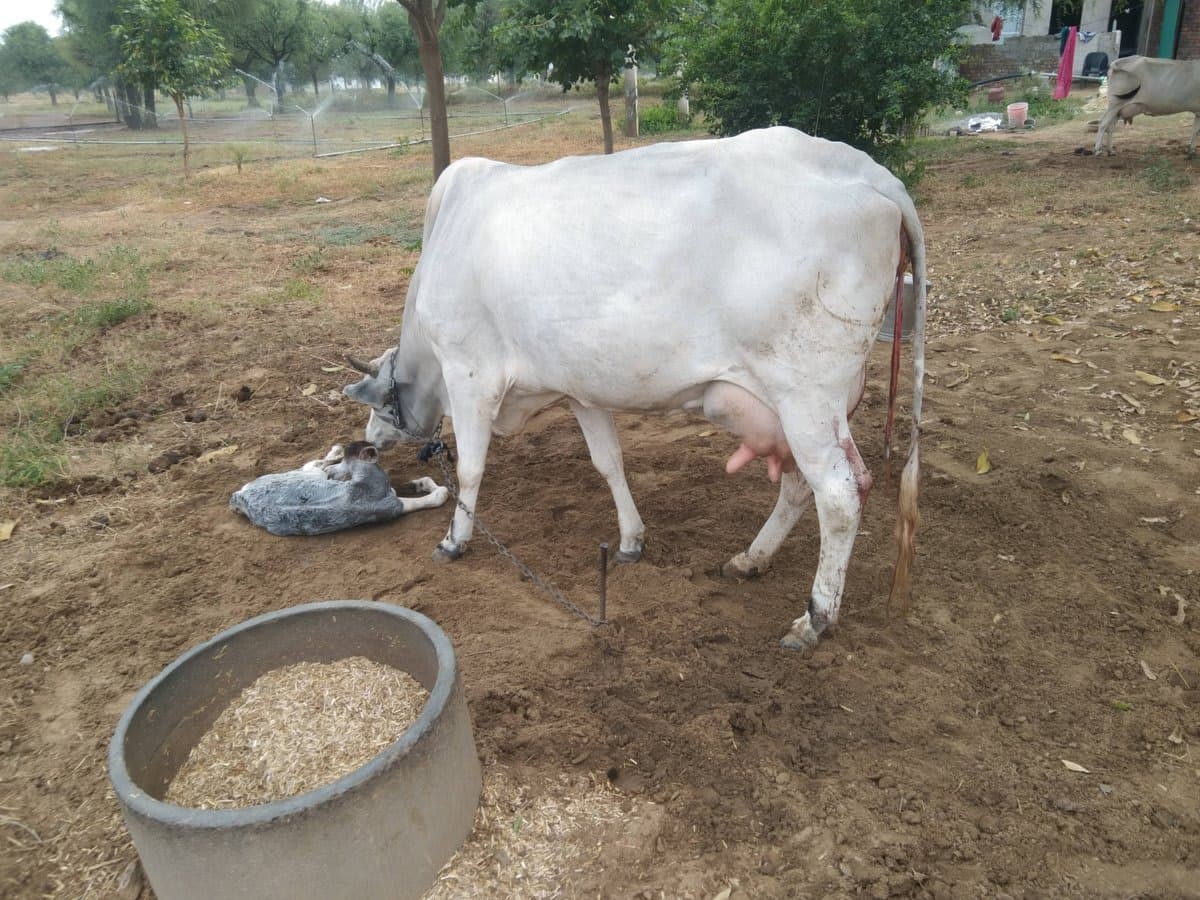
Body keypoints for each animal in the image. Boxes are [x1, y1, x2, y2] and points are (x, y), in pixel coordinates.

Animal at [344, 126, 927, 649]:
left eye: (379, 408)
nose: (369, 440)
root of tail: (871, 172)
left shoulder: (469, 373)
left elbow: (469, 468)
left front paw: (454, 539)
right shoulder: (580, 389)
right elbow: (609, 462)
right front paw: (630, 540)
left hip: (806, 396)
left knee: (840, 493)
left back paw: (815, 618)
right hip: (807, 408)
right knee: (807, 486)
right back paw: (750, 559)